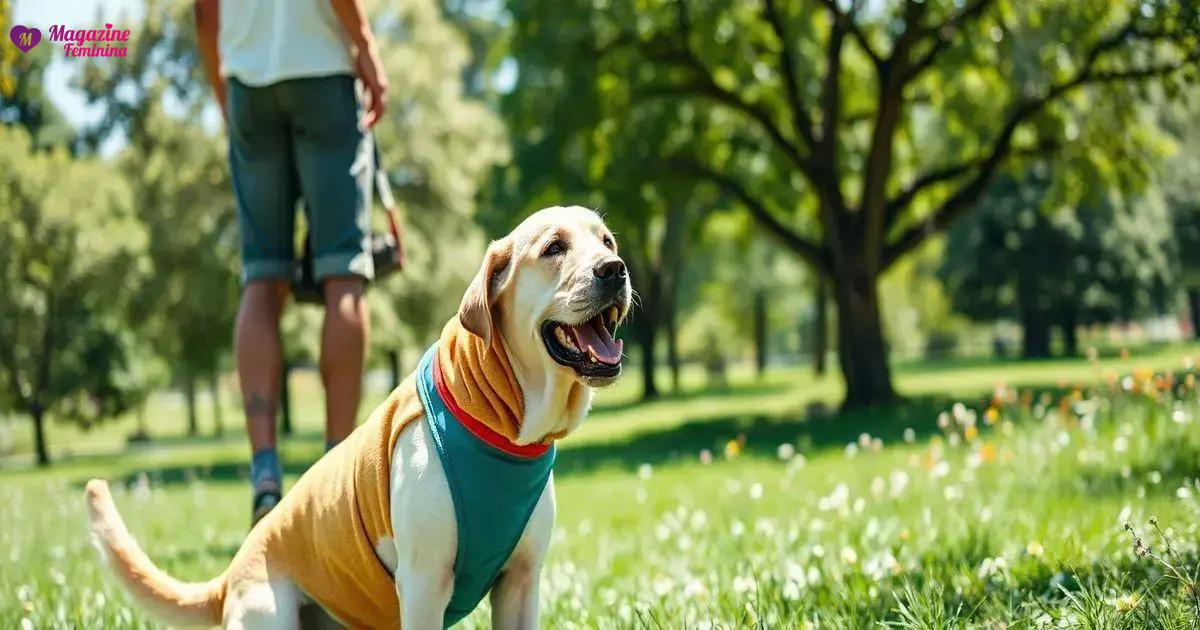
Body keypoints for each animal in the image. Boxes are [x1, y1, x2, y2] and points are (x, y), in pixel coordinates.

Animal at [84, 205, 633, 624]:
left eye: (606, 239)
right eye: (554, 248)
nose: (615, 268)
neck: (504, 423)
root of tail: (232, 572)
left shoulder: (521, 582)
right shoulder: (424, 583)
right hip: (271, 614)